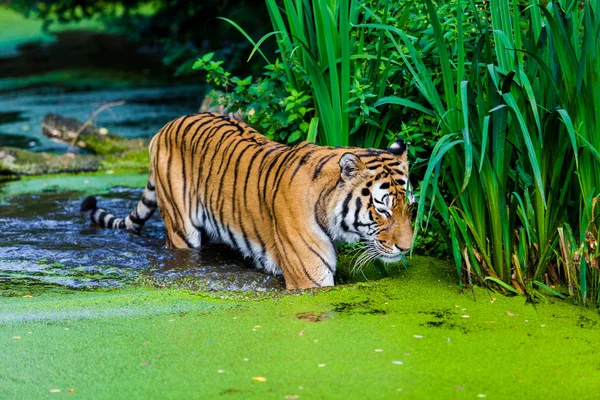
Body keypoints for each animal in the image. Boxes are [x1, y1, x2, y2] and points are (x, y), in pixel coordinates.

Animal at [79, 111, 414, 290]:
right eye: (382, 209)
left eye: (409, 206)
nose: (406, 248)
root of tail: (167, 125)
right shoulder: (309, 280)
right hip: (181, 228)